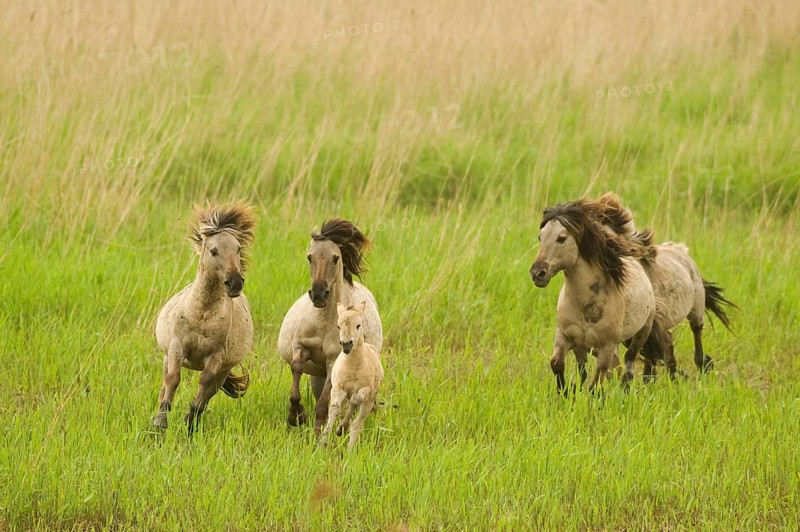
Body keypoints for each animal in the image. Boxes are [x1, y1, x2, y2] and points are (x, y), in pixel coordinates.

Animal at [153, 202, 255, 436]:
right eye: (213, 250)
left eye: (237, 249)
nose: (235, 283)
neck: (202, 315)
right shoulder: (176, 347)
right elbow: (173, 379)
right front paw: (161, 422)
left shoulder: (216, 356)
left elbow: (204, 383)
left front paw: (191, 420)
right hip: (167, 358)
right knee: (164, 385)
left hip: (223, 370)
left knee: (211, 390)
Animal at [278, 218, 383, 432]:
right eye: (309, 257)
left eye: (335, 258)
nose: (319, 294)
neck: (324, 323)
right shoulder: (301, 347)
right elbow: (296, 373)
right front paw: (296, 417)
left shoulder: (333, 360)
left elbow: (323, 403)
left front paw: (315, 429)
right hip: (317, 374)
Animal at [319, 301, 384, 451]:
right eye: (338, 326)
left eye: (358, 325)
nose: (346, 344)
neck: (354, 366)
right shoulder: (338, 388)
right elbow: (334, 409)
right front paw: (322, 442)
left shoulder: (366, 390)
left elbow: (355, 399)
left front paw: (341, 428)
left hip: (369, 402)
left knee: (357, 424)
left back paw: (350, 449)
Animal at [529, 198, 656, 392]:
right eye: (540, 237)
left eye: (561, 238)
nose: (537, 273)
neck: (586, 306)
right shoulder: (566, 337)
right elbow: (558, 364)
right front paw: (565, 393)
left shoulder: (606, 346)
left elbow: (596, 384)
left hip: (642, 332)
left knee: (628, 365)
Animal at [593, 192, 736, 379]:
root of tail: (681, 250)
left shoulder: (653, 321)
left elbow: (659, 350)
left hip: (696, 308)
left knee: (696, 333)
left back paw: (701, 365)